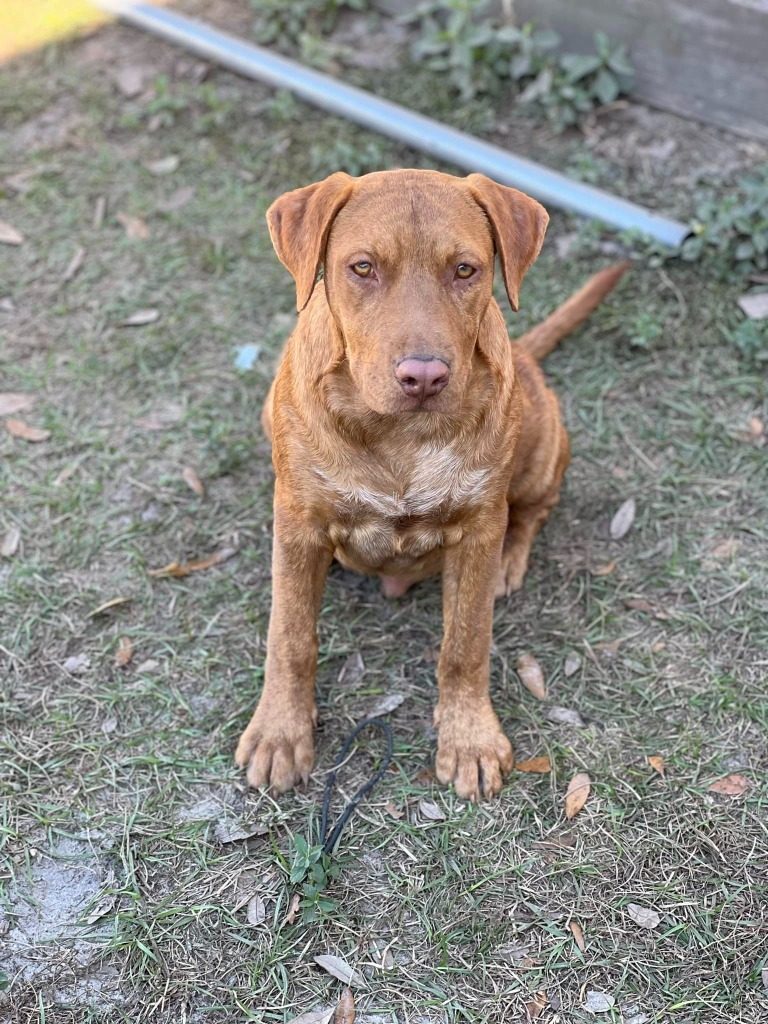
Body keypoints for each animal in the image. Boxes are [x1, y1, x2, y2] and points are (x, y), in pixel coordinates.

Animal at [236, 167, 630, 798]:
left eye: (465, 269)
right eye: (363, 267)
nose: (423, 376)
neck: (400, 435)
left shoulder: (477, 529)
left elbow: (465, 642)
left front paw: (468, 738)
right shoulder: (298, 523)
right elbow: (290, 637)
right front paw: (280, 732)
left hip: (543, 438)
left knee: (535, 507)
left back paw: (511, 559)